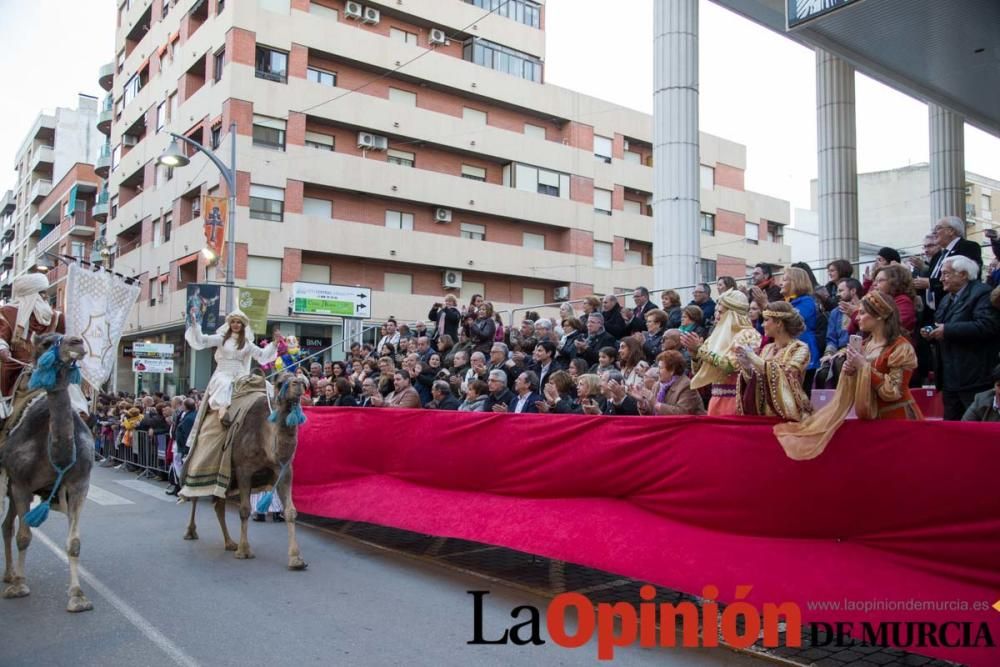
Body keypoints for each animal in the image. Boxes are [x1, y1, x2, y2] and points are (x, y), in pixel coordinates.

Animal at [0, 336, 94, 612]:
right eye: (45, 342)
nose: (76, 342)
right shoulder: (21, 484)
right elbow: (24, 536)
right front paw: (20, 586)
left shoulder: (79, 485)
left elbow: (74, 543)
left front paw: (77, 596)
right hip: (11, 484)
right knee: (10, 527)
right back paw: (12, 576)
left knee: (6, 524)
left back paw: (8, 574)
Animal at [184, 374, 308, 572]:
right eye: (280, 382)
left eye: (301, 380)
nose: (298, 385)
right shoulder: (244, 469)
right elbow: (244, 510)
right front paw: (244, 551)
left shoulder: (284, 470)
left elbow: (290, 511)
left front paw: (296, 559)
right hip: (201, 461)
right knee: (195, 495)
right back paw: (191, 532)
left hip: (226, 477)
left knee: (218, 505)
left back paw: (229, 543)